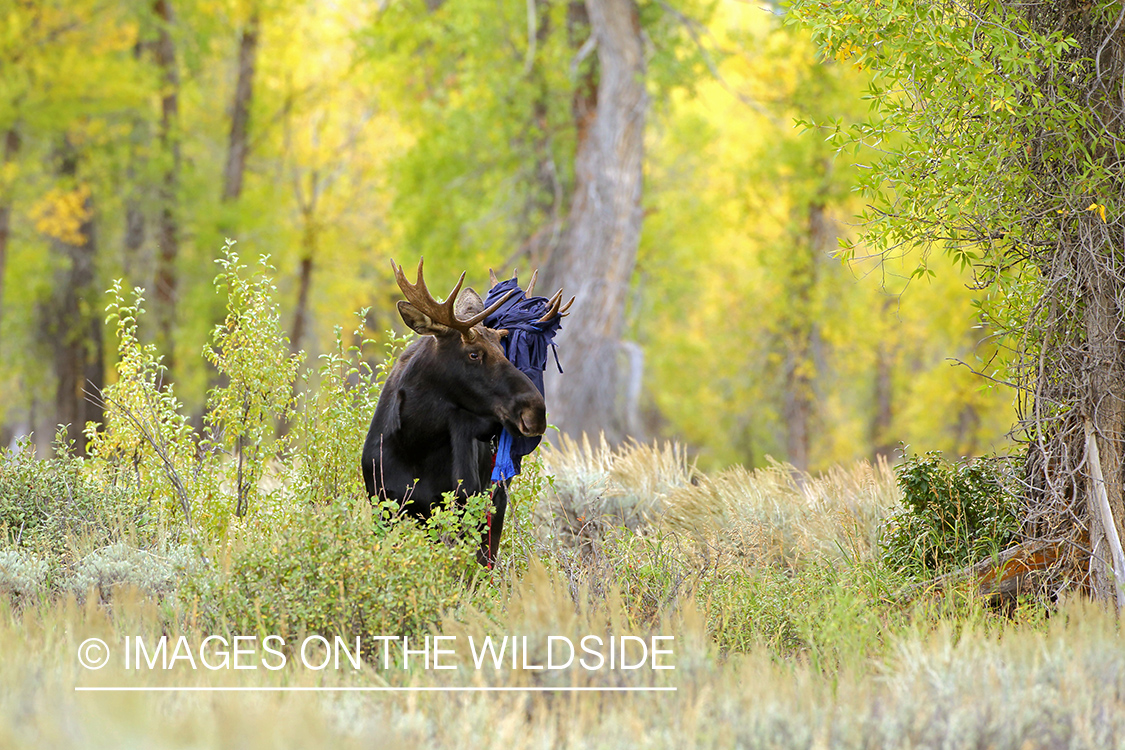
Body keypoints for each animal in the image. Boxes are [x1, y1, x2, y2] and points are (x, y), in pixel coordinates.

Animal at [362, 259, 571, 568]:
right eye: (474, 353)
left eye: (503, 350)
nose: (536, 411)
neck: (416, 441)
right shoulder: (385, 505)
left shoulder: (463, 504)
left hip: (495, 496)